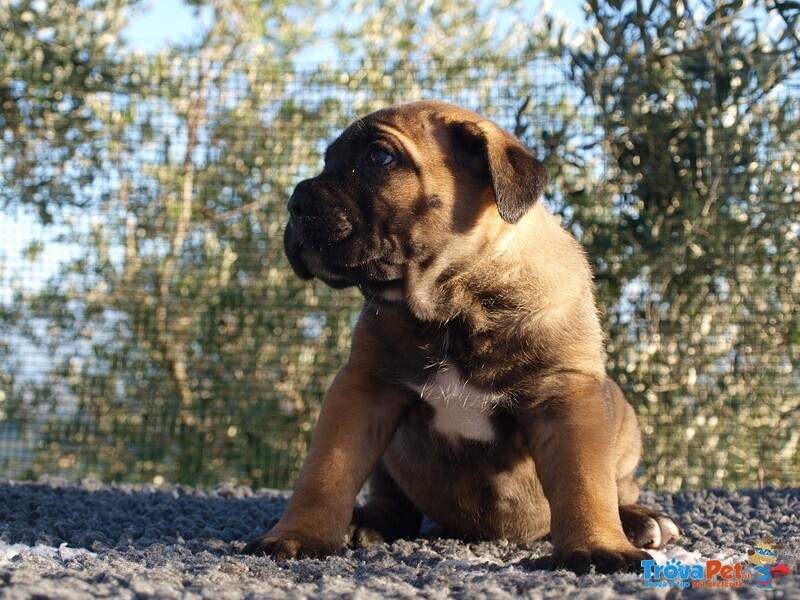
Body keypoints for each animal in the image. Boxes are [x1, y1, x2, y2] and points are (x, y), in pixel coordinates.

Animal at [244, 101, 680, 576]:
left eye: (379, 157)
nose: (295, 203)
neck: (456, 303)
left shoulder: (567, 397)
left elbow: (584, 481)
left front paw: (599, 547)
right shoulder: (362, 389)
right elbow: (326, 471)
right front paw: (298, 535)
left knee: (619, 488)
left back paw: (640, 519)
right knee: (393, 501)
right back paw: (367, 522)